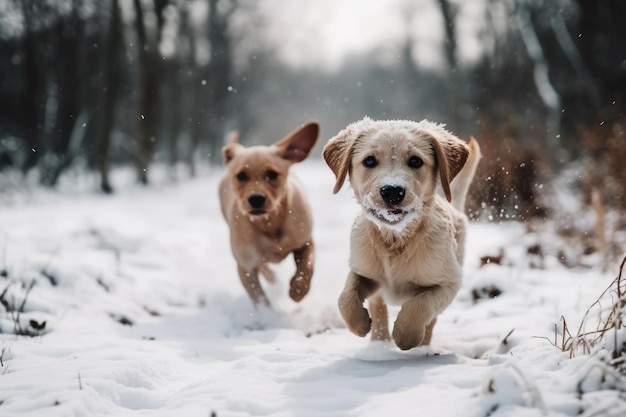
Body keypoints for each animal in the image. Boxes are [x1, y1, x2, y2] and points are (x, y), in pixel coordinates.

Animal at [218, 120, 316, 306]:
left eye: (272, 174)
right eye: (241, 176)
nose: (256, 199)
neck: (269, 222)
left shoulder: (305, 241)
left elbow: (307, 265)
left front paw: (298, 289)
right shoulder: (246, 267)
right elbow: (260, 299)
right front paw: (268, 313)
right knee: (264, 267)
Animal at [322, 116, 478, 348]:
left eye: (415, 161)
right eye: (369, 161)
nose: (392, 191)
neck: (395, 238)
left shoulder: (449, 282)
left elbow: (421, 305)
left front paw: (406, 336)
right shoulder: (364, 270)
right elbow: (346, 297)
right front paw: (359, 323)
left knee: (431, 319)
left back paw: (422, 345)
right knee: (378, 306)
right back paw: (379, 341)